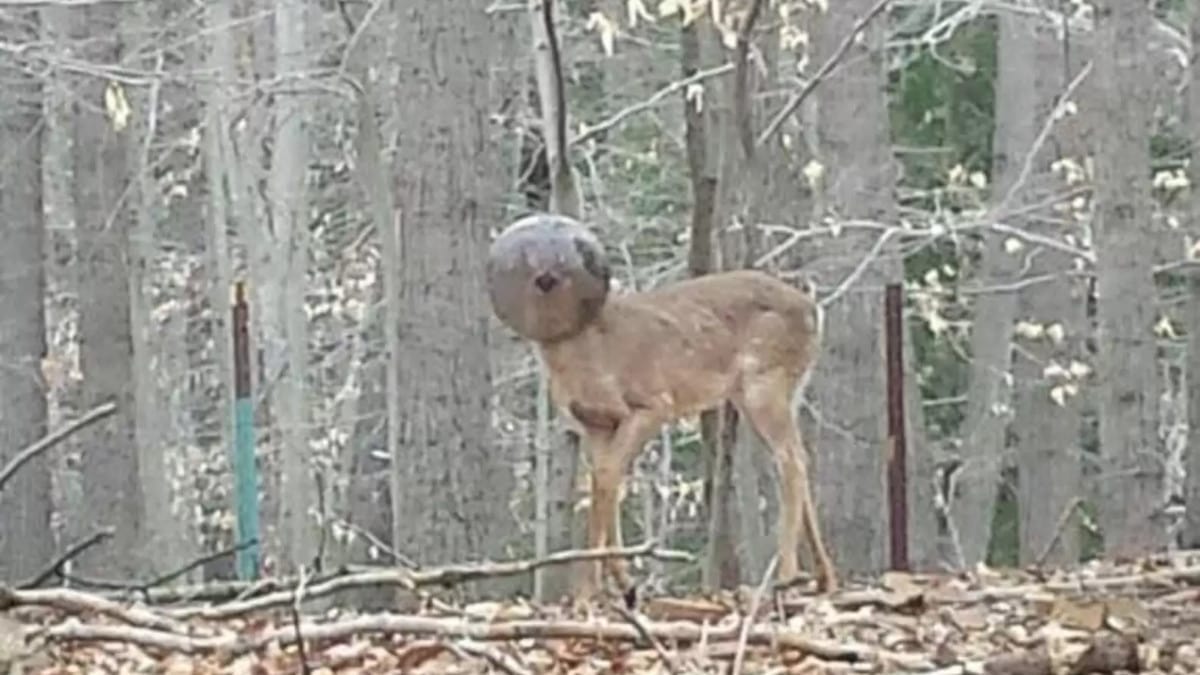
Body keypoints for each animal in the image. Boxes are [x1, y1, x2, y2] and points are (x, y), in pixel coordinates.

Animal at [484, 212, 835, 600]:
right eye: (529, 260)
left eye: (569, 259)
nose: (547, 277)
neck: (589, 353)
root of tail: (813, 310)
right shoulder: (596, 424)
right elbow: (605, 480)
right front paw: (618, 584)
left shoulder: (652, 404)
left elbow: (607, 477)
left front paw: (593, 588)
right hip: (776, 390)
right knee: (797, 457)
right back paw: (824, 578)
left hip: (764, 383)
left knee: (792, 460)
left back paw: (786, 576)